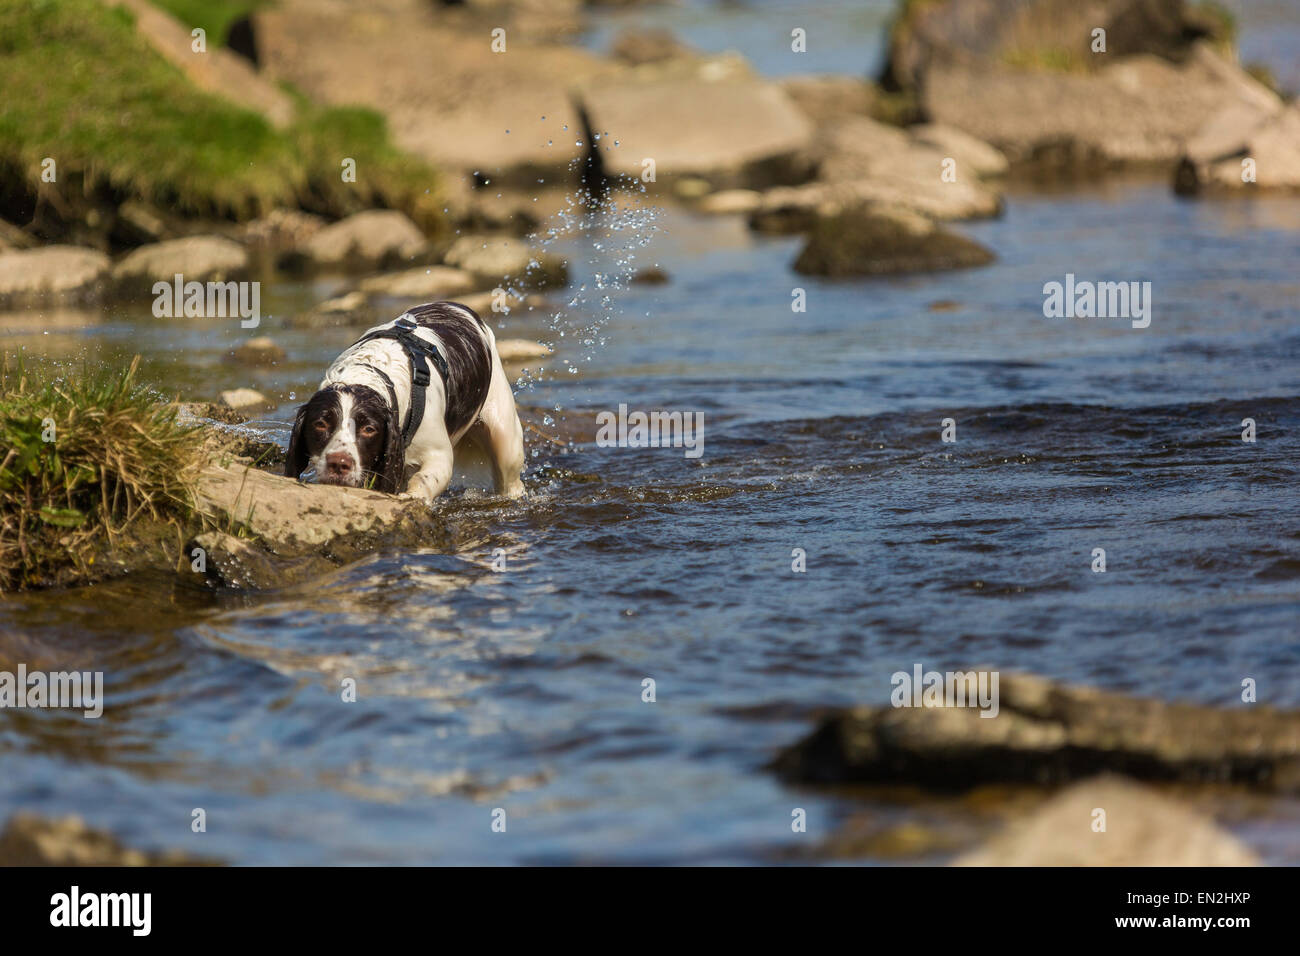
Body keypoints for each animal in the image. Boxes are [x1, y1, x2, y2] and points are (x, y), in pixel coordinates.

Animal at [287, 303, 525, 504]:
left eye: (369, 429)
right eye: (320, 424)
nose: (339, 463)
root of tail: (459, 306)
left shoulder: (438, 455)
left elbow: (425, 478)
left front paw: (411, 497)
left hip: (504, 436)